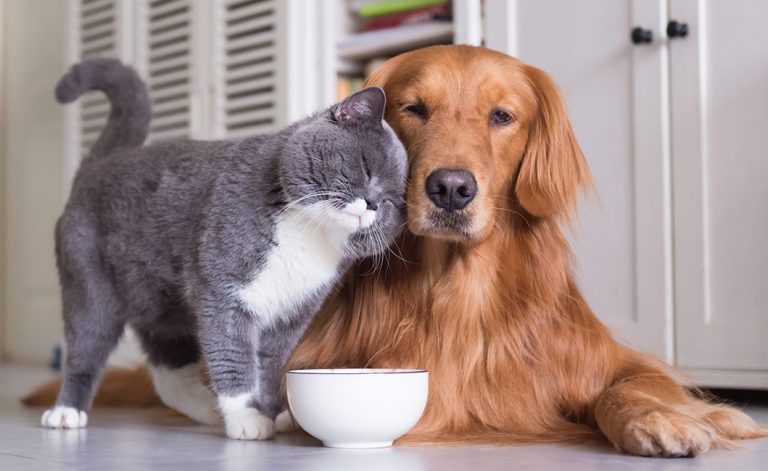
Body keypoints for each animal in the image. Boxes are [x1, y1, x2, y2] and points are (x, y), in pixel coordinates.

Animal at [42, 58, 408, 438]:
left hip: (162, 308)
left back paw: (209, 410)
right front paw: (247, 418)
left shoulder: (292, 315)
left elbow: (271, 367)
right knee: (85, 348)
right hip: (90, 286)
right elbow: (233, 357)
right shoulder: (224, 295)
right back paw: (66, 412)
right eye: (365, 166)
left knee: (168, 375)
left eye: (394, 200)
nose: (372, 203)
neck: (309, 235)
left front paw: (274, 413)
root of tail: (99, 164)